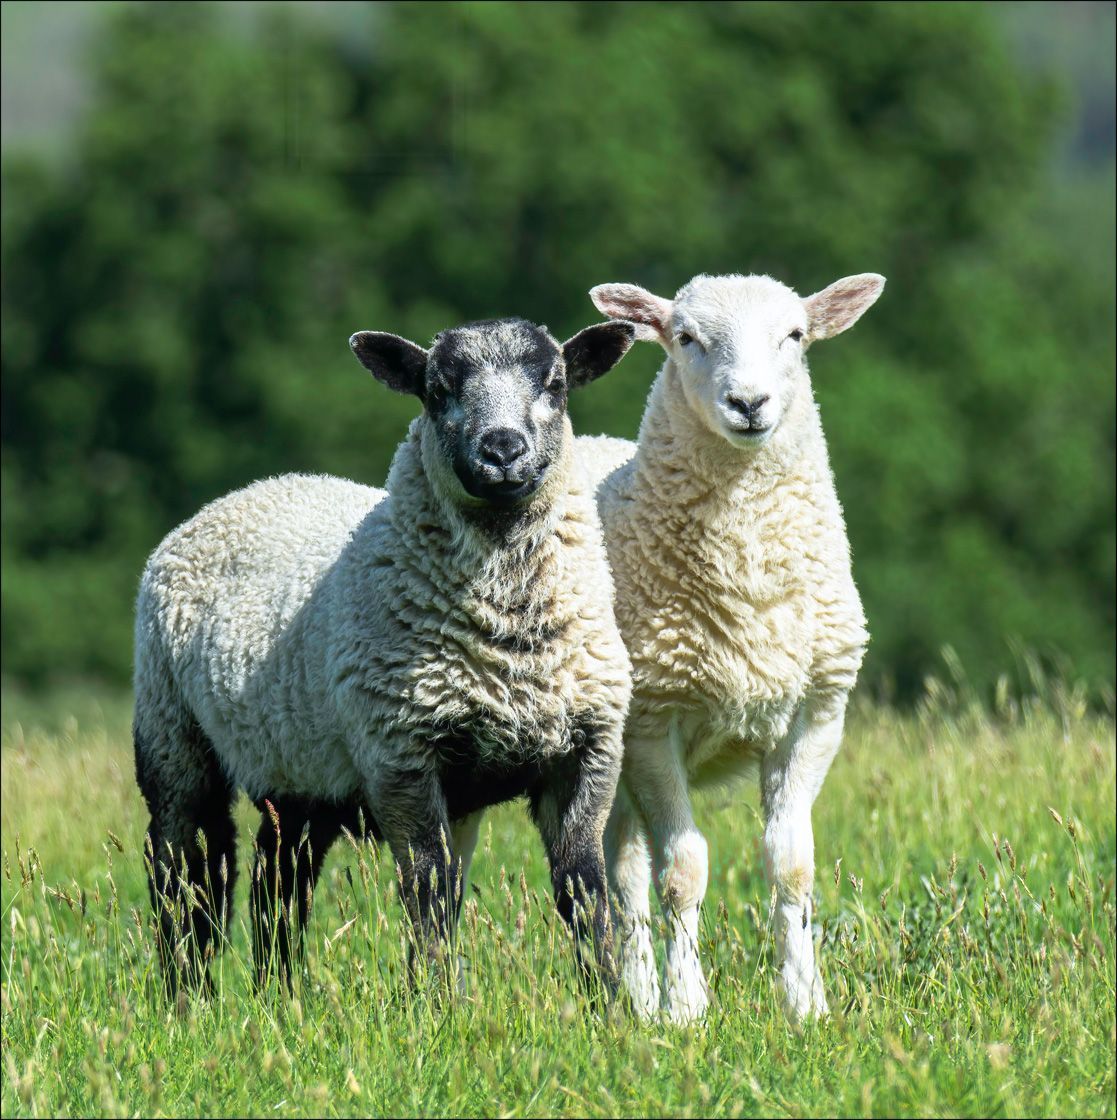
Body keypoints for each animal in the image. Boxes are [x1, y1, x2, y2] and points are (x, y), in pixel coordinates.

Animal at [132, 315, 636, 996]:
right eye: (437, 391)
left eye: (555, 384)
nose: (502, 451)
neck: (508, 646)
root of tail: (248, 491)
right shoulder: (402, 755)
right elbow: (431, 892)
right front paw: (438, 1002)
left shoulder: (587, 749)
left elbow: (583, 890)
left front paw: (610, 1005)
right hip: (172, 734)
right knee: (187, 876)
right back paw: (188, 1000)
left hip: (300, 771)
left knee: (276, 882)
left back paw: (278, 999)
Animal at [579, 272, 884, 1024]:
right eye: (684, 336)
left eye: (795, 335)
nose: (748, 403)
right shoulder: (652, 723)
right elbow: (682, 873)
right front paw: (686, 1007)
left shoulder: (815, 716)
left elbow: (791, 866)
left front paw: (805, 1002)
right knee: (624, 872)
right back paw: (640, 997)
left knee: (624, 856)